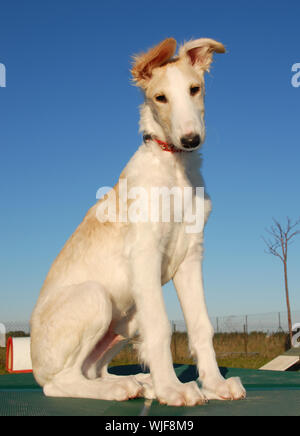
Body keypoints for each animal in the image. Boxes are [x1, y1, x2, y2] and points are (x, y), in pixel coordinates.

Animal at [30, 36, 246, 406]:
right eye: (160, 97)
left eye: (195, 89)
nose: (190, 140)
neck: (175, 168)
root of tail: (34, 364)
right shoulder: (145, 253)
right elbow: (160, 327)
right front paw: (173, 389)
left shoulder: (191, 256)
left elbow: (201, 325)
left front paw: (215, 385)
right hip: (96, 297)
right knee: (58, 383)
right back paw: (122, 387)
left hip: (126, 320)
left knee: (92, 370)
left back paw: (140, 382)